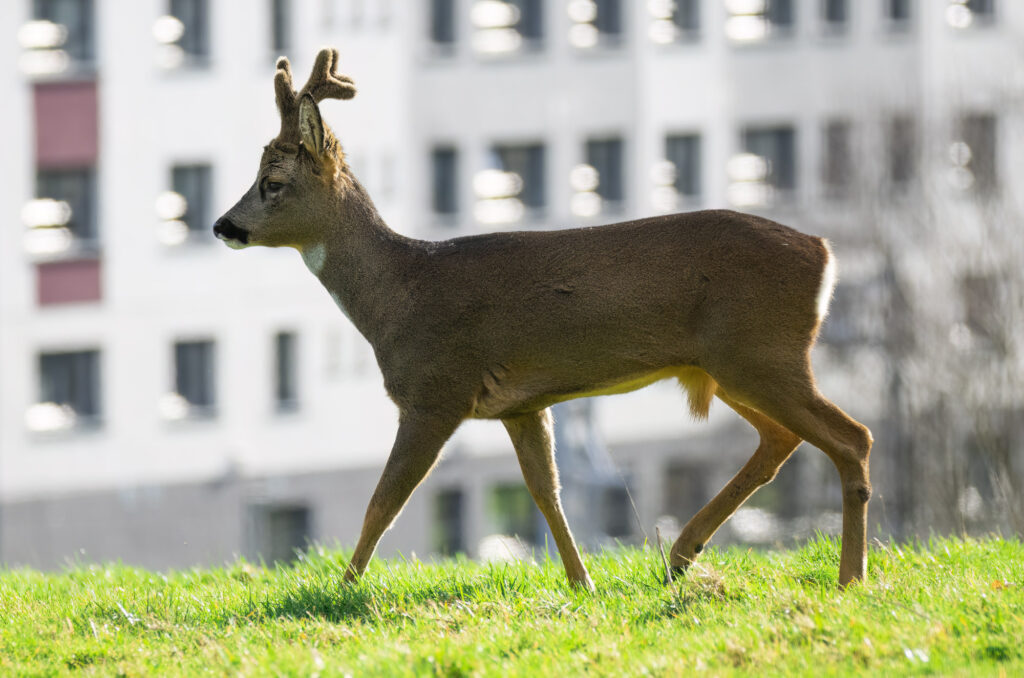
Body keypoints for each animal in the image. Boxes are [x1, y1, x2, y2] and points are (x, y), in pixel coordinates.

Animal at [214, 49, 873, 591]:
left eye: (272, 182)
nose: (223, 225)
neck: (400, 295)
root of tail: (823, 254)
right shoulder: (523, 404)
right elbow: (546, 491)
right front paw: (582, 581)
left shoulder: (436, 390)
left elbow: (386, 500)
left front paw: (342, 589)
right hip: (731, 364)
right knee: (782, 440)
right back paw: (681, 555)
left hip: (760, 352)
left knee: (851, 437)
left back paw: (850, 576)